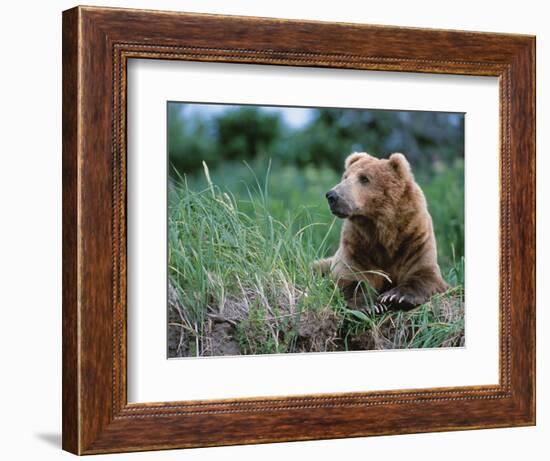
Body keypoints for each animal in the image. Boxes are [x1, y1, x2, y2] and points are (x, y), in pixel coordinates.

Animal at [316, 151, 450, 312]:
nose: (332, 195)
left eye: (364, 178)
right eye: (345, 176)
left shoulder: (414, 237)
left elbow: (424, 274)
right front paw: (371, 305)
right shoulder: (357, 244)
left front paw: (396, 296)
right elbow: (350, 277)